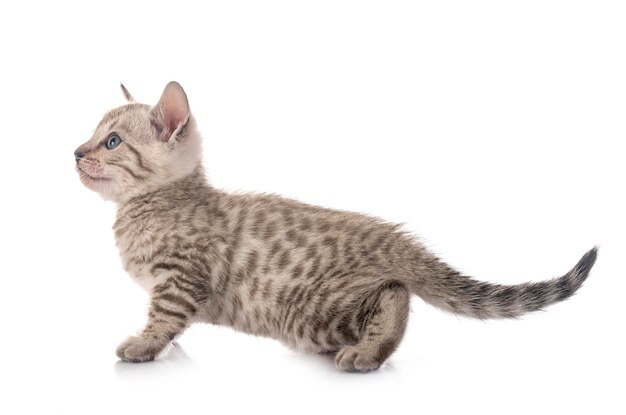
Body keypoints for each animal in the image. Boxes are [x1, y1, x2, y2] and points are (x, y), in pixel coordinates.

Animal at [73, 83, 596, 372]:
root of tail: (392, 237)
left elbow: (163, 315)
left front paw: (143, 344)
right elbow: (171, 322)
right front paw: (166, 343)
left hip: (305, 309)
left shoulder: (183, 277)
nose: (76, 152)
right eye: (92, 135)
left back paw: (368, 352)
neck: (151, 204)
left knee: (396, 293)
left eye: (112, 141)